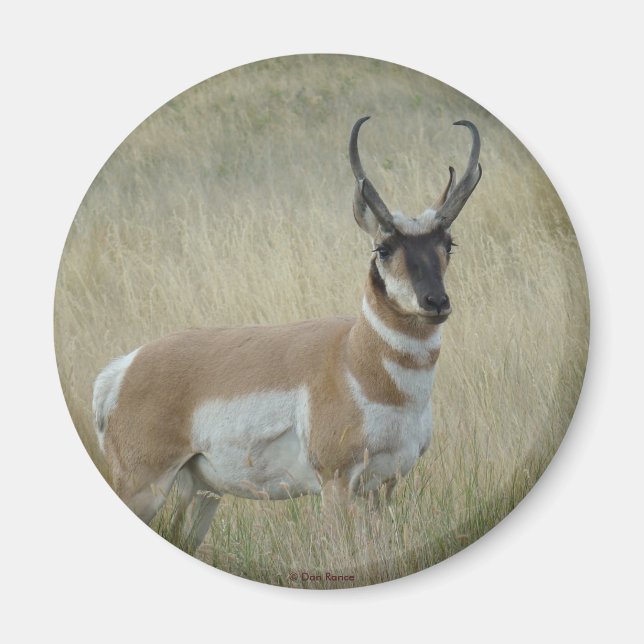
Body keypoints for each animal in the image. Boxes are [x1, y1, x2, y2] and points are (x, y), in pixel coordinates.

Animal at [93, 116, 482, 550]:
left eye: (449, 243)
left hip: (202, 492)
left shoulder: (385, 486)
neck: (353, 357)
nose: (436, 301)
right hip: (143, 486)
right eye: (383, 248)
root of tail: (125, 367)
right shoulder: (335, 483)